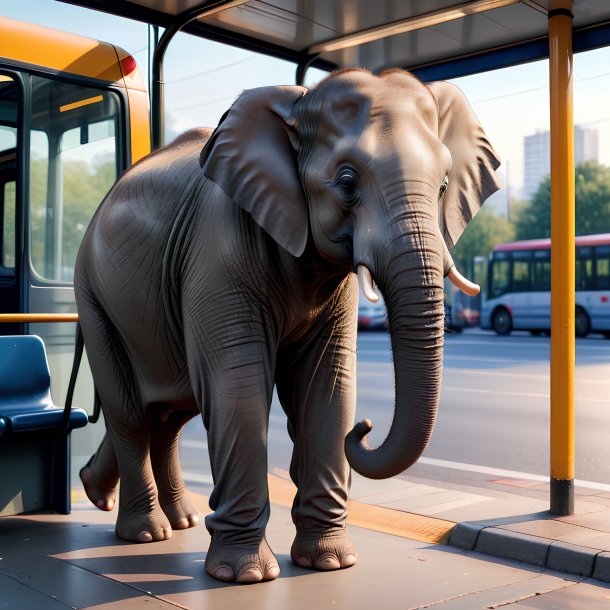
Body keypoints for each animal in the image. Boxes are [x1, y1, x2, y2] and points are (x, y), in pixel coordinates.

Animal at [73, 65, 496, 580]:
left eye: (443, 186)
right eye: (347, 181)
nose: (365, 427)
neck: (300, 103)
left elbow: (325, 380)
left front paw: (330, 564)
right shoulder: (218, 250)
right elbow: (238, 381)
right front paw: (246, 576)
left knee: (169, 413)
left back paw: (148, 509)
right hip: (92, 293)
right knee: (131, 410)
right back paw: (146, 533)